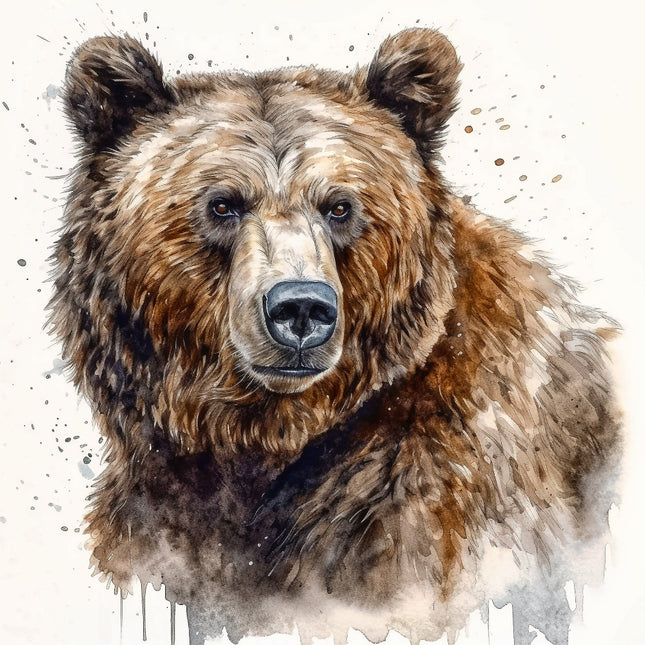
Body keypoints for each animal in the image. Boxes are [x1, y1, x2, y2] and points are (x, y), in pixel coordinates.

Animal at [49, 29, 620, 645]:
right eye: (222, 204)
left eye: (340, 206)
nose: (301, 307)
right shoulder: (167, 513)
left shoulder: (434, 501)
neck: (266, 438)